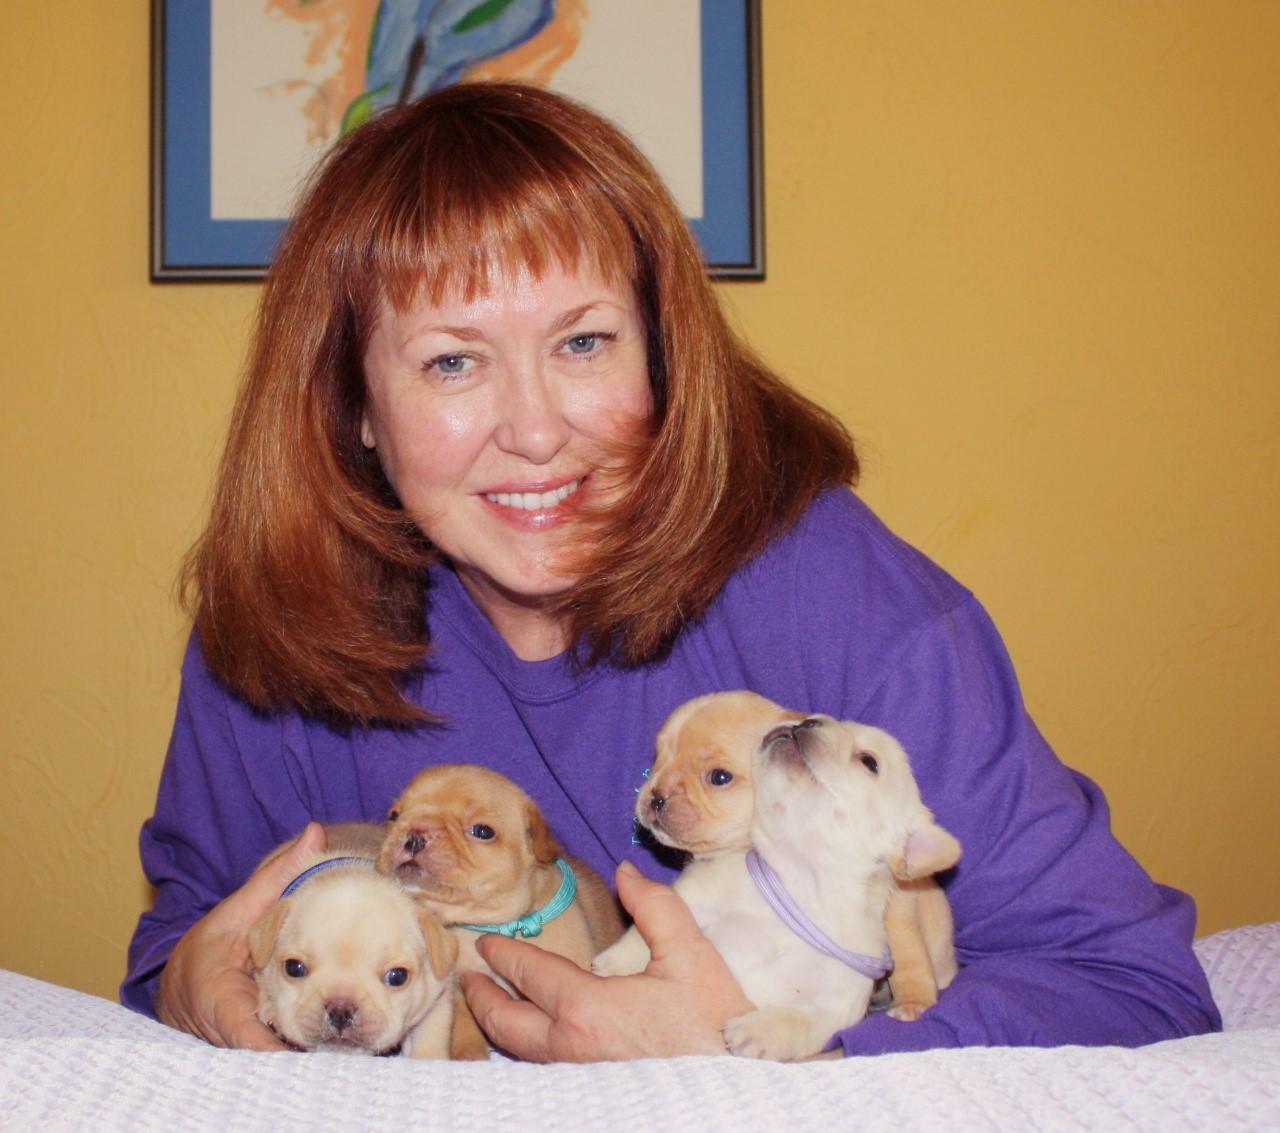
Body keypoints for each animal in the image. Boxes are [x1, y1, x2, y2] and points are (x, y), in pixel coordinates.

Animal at [248, 851, 458, 1058]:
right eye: (293, 968)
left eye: (397, 977)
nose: (340, 1010)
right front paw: (270, 1008)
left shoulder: (438, 998)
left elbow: (429, 1037)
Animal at [376, 763, 625, 1052]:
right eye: (394, 816)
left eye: (482, 831)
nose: (415, 835)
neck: (490, 924)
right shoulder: (459, 990)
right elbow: (464, 1027)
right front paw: (469, 1054)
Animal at [595, 695, 961, 1058]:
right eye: (657, 759)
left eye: (719, 778)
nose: (655, 795)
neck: (802, 884)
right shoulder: (697, 897)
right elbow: (641, 936)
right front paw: (615, 962)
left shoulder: (835, 1006)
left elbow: (801, 1022)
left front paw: (759, 1031)